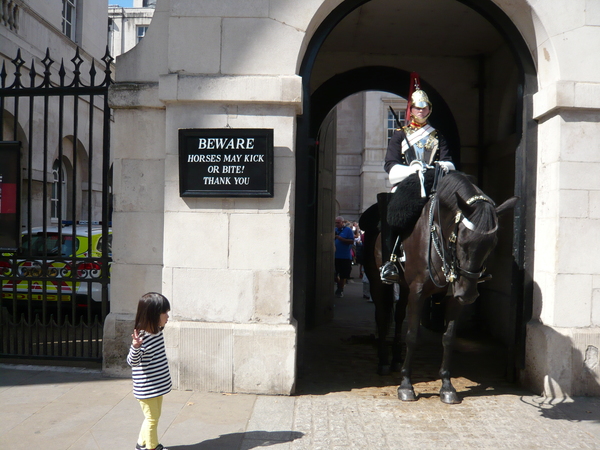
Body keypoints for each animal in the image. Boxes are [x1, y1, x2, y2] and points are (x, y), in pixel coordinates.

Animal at [358, 171, 516, 402]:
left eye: (492, 244)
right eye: (463, 241)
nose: (468, 295)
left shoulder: (452, 297)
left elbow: (448, 338)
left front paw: (447, 386)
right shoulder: (418, 292)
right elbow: (412, 335)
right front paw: (406, 385)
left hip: (405, 287)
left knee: (397, 317)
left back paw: (395, 360)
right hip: (378, 281)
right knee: (382, 315)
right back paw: (384, 362)